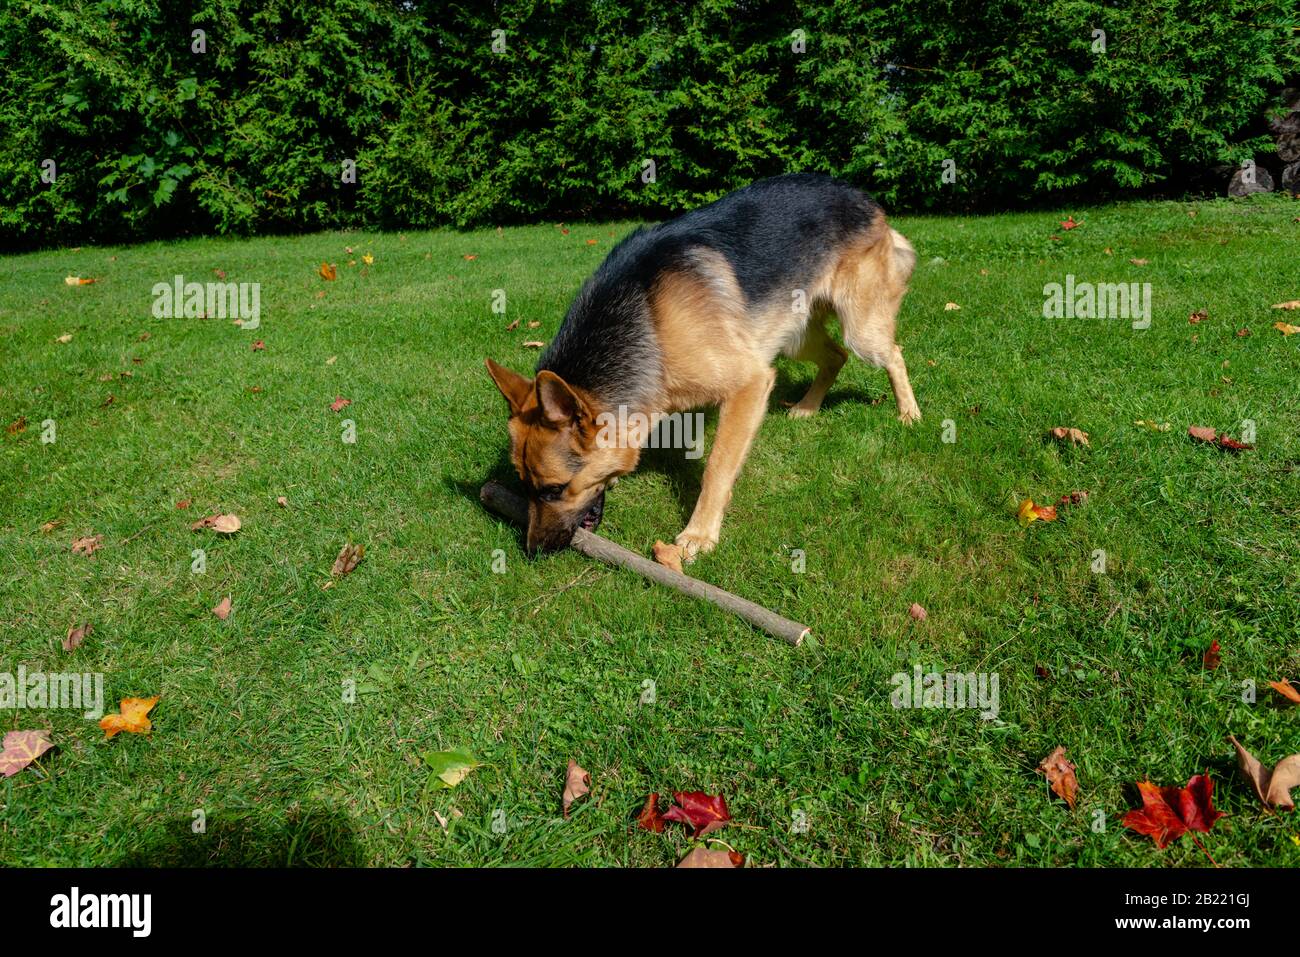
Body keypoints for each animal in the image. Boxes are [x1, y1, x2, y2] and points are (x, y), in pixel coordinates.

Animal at [483, 175, 920, 556]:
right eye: (523, 486)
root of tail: (861, 196)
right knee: (835, 356)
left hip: (859, 330)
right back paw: (808, 407)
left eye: (554, 490)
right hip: (794, 335)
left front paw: (700, 533)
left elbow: (717, 467)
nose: (533, 551)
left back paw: (909, 413)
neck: (648, 321)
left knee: (891, 354)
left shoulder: (749, 383)